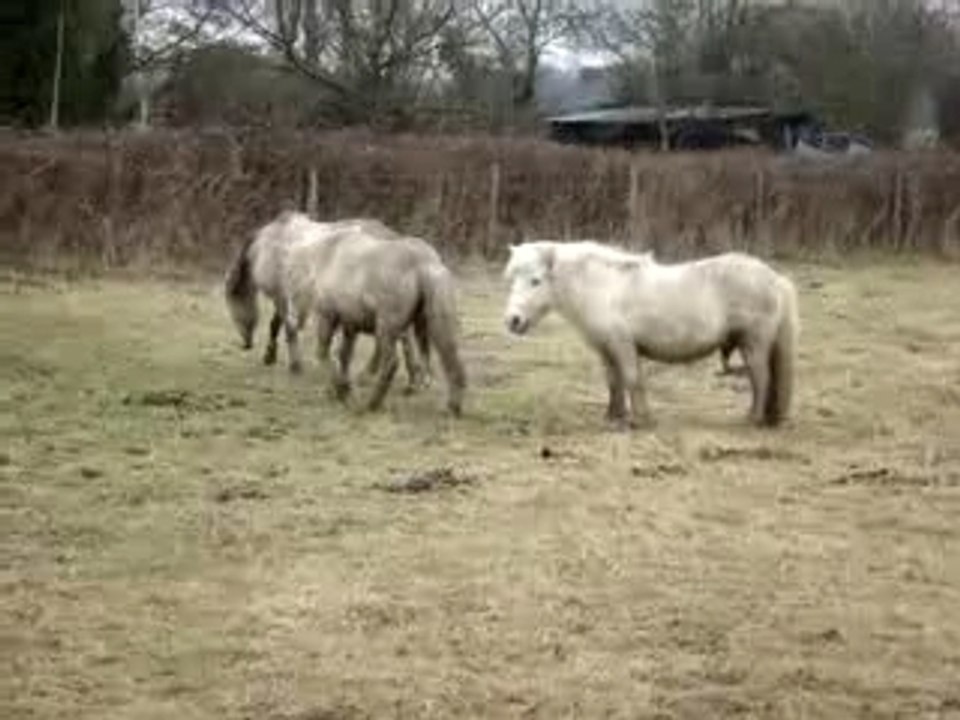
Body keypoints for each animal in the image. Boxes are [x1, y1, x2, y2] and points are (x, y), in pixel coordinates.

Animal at [224, 211, 431, 391]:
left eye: (233, 308)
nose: (246, 344)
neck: (270, 242)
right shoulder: (285, 296)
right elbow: (280, 324)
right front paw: (274, 357)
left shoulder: (280, 296)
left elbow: (283, 327)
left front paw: (290, 363)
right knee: (403, 339)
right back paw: (412, 381)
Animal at [279, 218, 466, 416]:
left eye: (291, 280)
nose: (291, 320)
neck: (324, 260)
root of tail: (424, 263)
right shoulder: (350, 326)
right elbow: (344, 356)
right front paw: (338, 390)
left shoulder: (327, 317)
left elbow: (324, 354)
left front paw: (341, 390)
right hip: (432, 325)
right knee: (451, 357)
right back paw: (452, 406)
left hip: (386, 328)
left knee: (391, 363)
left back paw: (373, 403)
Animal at [502, 241, 799, 429]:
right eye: (512, 279)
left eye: (536, 281)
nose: (512, 321)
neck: (603, 288)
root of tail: (775, 279)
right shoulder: (606, 350)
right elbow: (614, 382)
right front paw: (613, 417)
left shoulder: (622, 345)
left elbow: (632, 379)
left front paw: (640, 419)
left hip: (754, 345)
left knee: (761, 379)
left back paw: (752, 419)